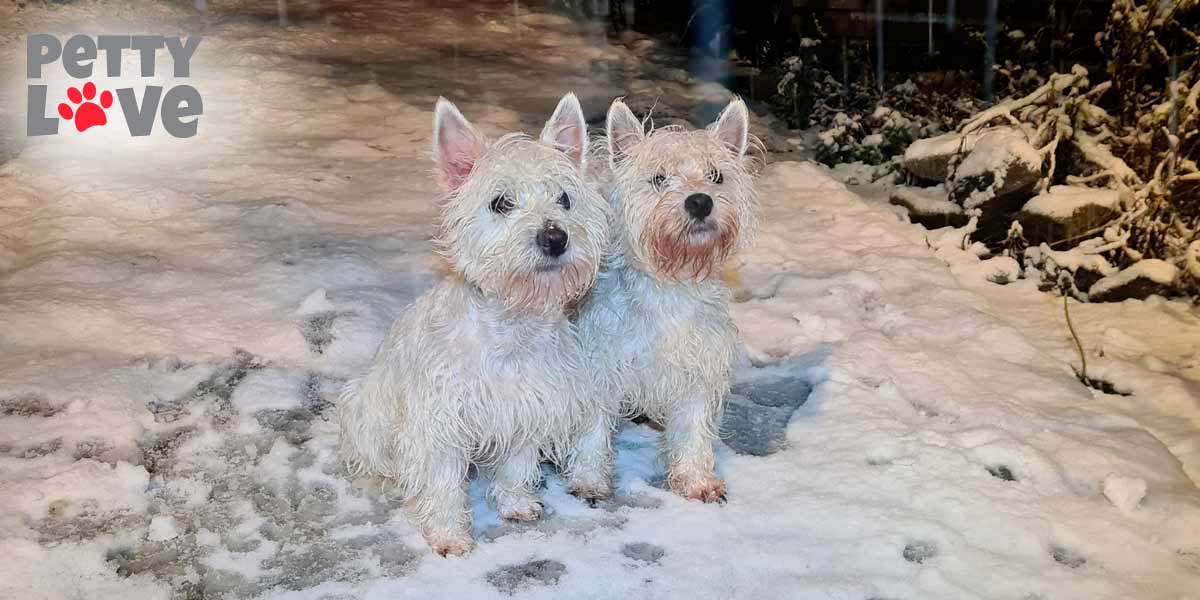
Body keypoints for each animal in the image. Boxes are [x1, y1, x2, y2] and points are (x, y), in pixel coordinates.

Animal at [338, 93, 609, 556]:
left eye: (565, 199)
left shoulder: (528, 405)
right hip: (367, 412)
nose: (555, 238)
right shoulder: (439, 421)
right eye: (501, 203)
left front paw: (517, 504)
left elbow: (517, 463)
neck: (511, 325)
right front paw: (449, 536)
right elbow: (443, 483)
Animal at [566, 97, 753, 501]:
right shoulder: (600, 366)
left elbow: (693, 429)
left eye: (716, 176)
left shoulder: (697, 367)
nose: (700, 202)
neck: (670, 283)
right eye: (658, 179)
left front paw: (696, 480)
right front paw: (588, 480)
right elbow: (591, 431)